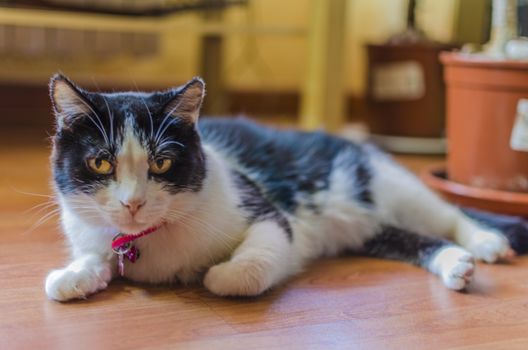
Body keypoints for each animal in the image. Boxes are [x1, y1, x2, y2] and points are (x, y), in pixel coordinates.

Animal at [45, 74, 516, 300]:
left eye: (161, 162)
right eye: (100, 162)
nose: (133, 203)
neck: (147, 243)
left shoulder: (267, 212)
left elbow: (248, 269)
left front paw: (217, 275)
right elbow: (92, 258)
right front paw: (72, 276)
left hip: (389, 183)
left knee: (448, 214)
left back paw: (486, 243)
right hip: (369, 228)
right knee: (413, 237)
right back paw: (456, 265)